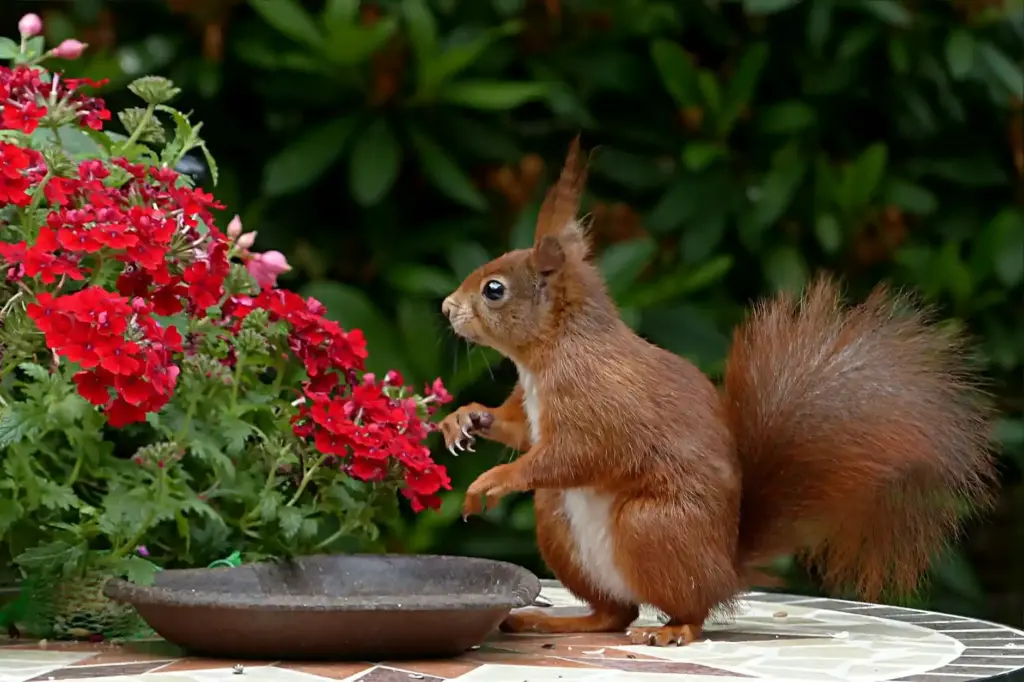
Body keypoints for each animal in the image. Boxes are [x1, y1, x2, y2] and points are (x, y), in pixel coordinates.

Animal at [438, 137, 997, 647]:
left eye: (494, 289)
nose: (446, 308)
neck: (551, 352)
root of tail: (726, 569)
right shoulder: (533, 408)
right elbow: (520, 430)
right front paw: (464, 418)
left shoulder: (598, 400)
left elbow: (575, 453)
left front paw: (495, 479)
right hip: (558, 521)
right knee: (614, 613)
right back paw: (554, 621)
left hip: (651, 526)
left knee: (688, 608)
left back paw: (673, 629)